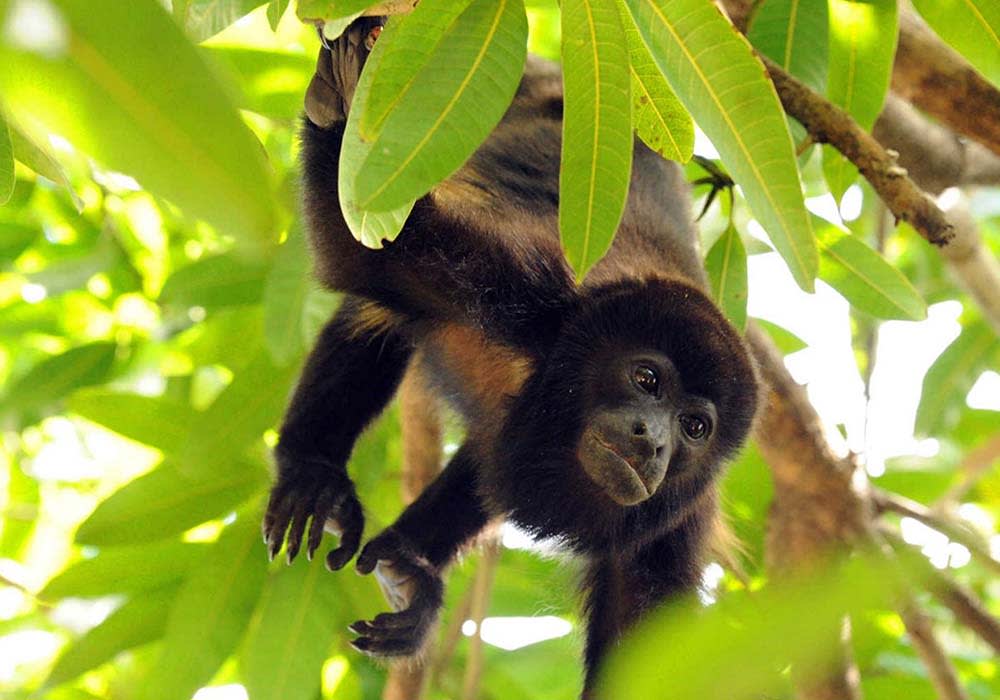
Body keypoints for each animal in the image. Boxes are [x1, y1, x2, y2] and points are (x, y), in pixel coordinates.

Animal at [266, 16, 756, 696]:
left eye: (695, 427)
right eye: (647, 378)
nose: (652, 442)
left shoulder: (676, 528)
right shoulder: (526, 287)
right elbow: (369, 257)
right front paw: (339, 105)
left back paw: (410, 566)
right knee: (379, 311)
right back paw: (313, 473)